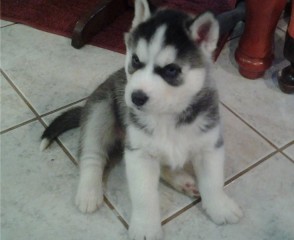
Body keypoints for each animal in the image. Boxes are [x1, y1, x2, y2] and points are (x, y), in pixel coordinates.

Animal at [42, 0, 243, 239]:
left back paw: (182, 181)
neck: (168, 115)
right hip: (100, 110)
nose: (135, 97)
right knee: (92, 154)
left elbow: (213, 182)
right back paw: (89, 191)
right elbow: (144, 197)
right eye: (136, 60)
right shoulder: (139, 153)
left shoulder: (209, 144)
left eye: (171, 70)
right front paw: (146, 226)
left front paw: (220, 207)